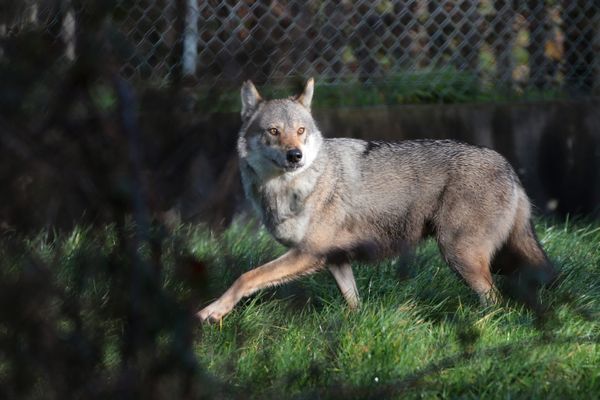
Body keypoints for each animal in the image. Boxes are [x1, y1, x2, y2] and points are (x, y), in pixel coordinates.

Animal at [197, 78, 556, 322]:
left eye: (300, 131)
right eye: (273, 131)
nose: (295, 155)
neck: (294, 187)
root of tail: (508, 166)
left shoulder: (307, 253)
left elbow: (246, 277)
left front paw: (212, 311)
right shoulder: (335, 260)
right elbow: (352, 301)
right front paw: (355, 323)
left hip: (460, 255)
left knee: (497, 301)